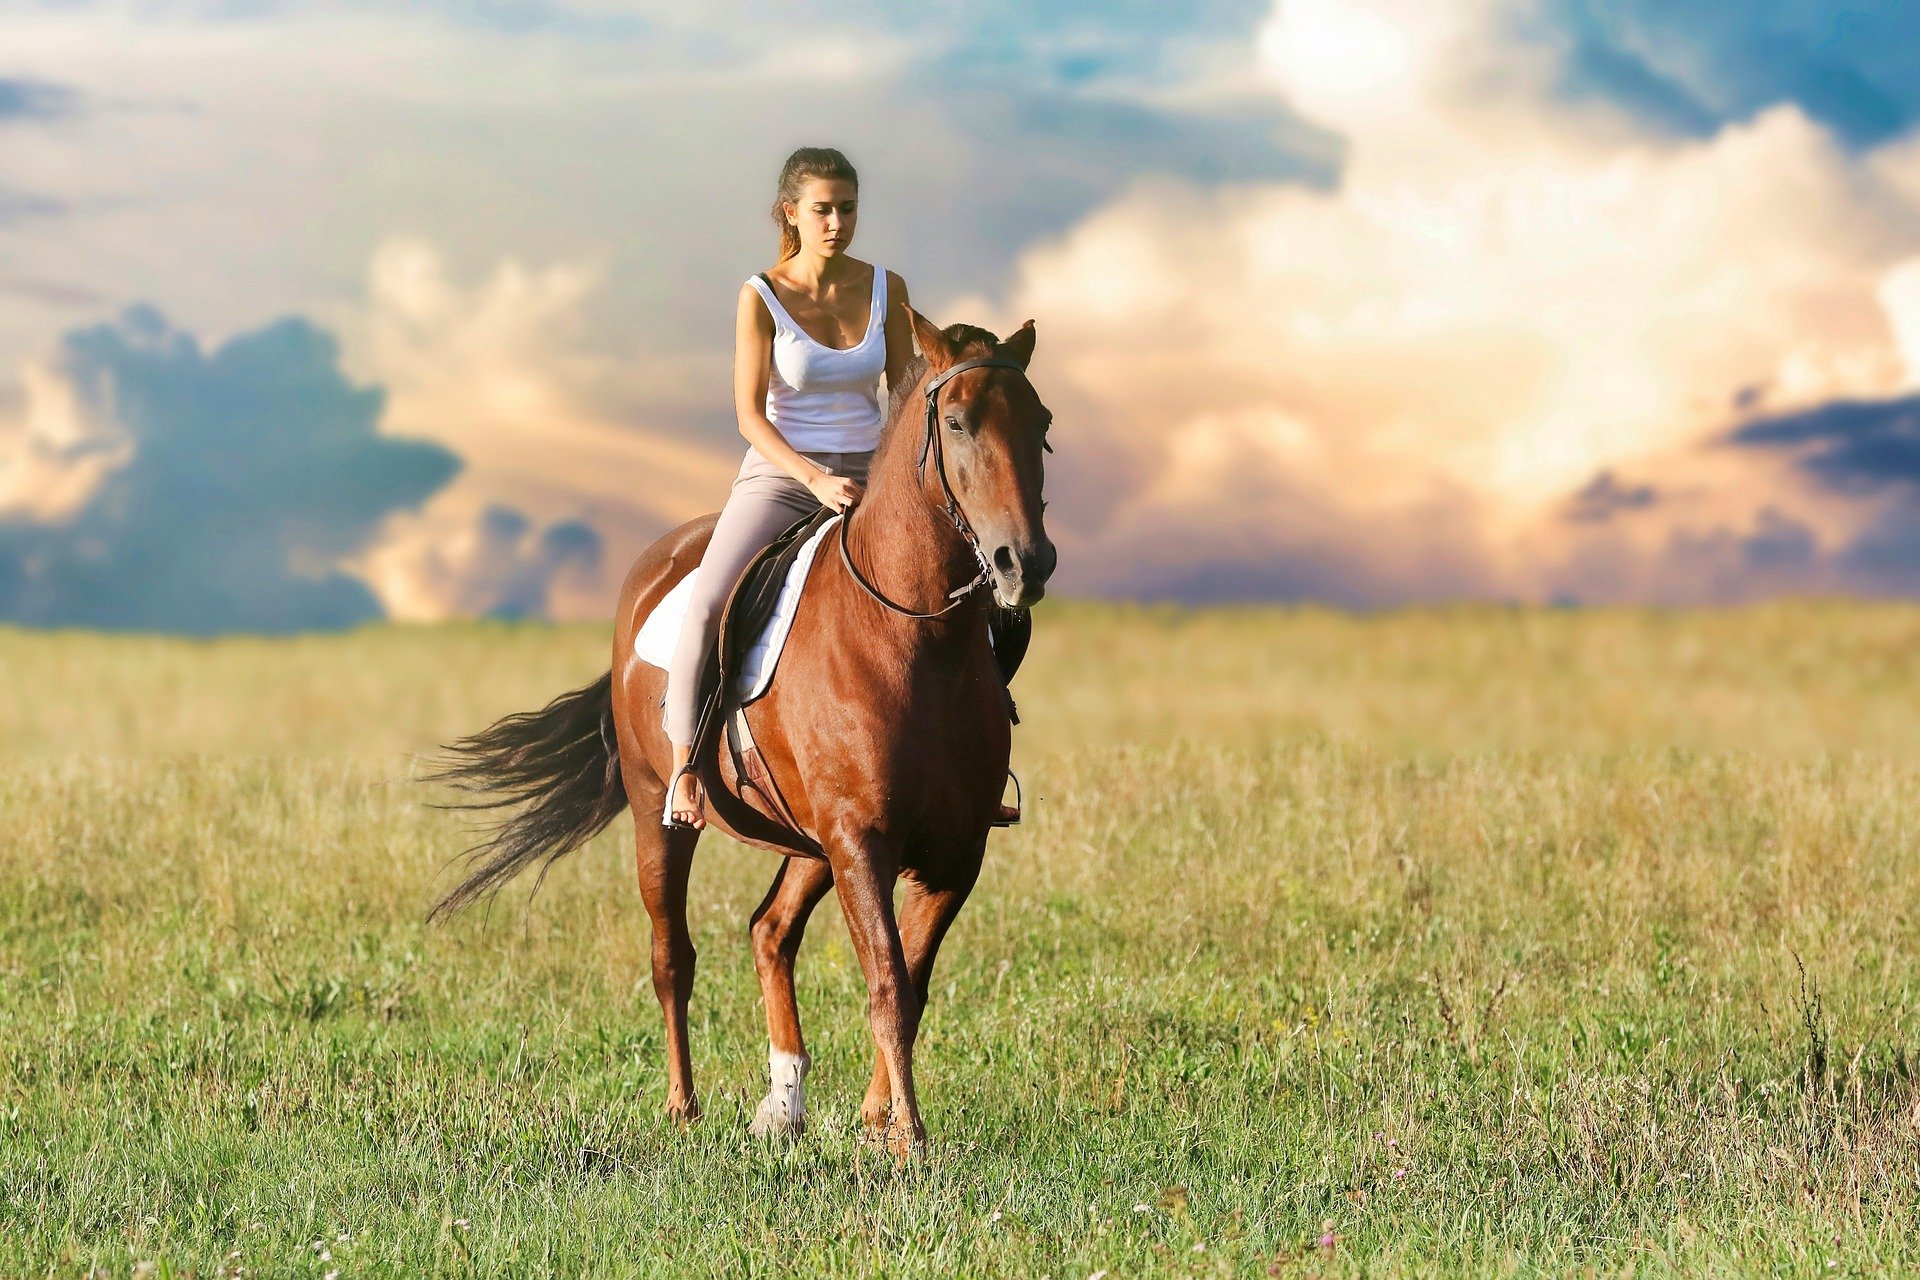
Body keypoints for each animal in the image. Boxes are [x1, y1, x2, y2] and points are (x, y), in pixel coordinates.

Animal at [424, 305, 1052, 1159]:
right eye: (957, 423)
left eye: (1041, 424)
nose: (1026, 563)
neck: (917, 638)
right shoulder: (862, 842)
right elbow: (888, 981)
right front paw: (910, 1138)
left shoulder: (953, 853)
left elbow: (912, 985)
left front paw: (878, 1121)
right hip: (662, 816)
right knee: (672, 956)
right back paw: (683, 1106)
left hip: (808, 843)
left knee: (769, 931)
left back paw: (784, 1104)